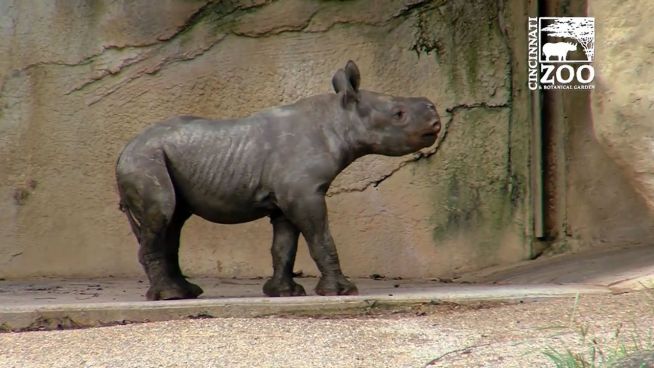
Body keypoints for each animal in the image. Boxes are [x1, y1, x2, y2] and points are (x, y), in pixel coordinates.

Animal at [118, 61, 446, 300]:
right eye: (398, 114)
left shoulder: (286, 197)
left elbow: (284, 246)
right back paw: (170, 297)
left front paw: (284, 293)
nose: (434, 115)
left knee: (174, 221)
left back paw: (186, 293)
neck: (339, 119)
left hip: (158, 159)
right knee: (162, 214)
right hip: (145, 161)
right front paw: (341, 291)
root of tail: (123, 152)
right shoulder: (303, 193)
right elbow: (320, 237)